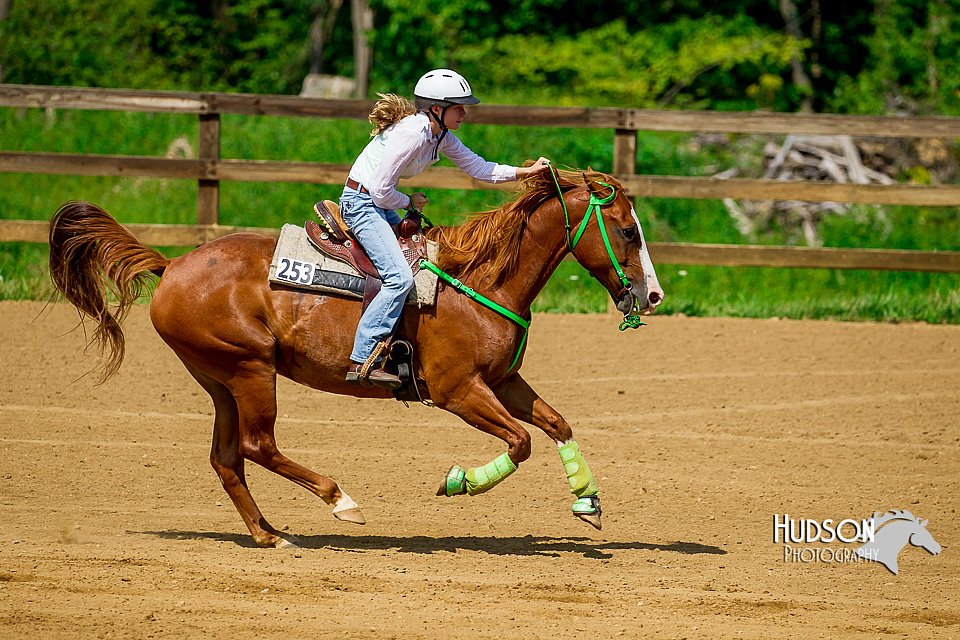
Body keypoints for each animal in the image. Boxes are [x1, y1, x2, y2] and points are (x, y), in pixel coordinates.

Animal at [48, 168, 664, 548]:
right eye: (627, 232)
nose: (653, 296)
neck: (478, 279)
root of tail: (172, 263)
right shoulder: (457, 390)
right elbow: (520, 442)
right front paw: (459, 482)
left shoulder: (504, 380)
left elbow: (556, 423)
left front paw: (588, 501)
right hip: (251, 369)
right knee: (257, 445)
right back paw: (340, 500)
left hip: (220, 379)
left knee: (227, 458)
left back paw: (268, 534)